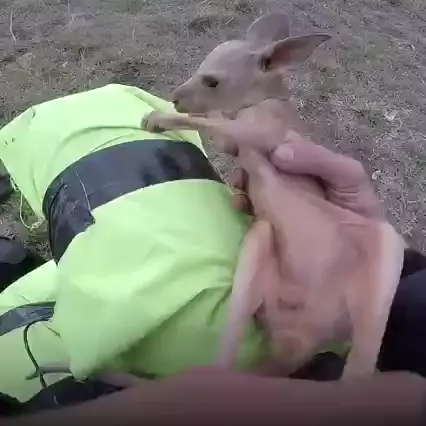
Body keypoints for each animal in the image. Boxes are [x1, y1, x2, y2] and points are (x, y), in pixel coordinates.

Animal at [141, 13, 405, 379]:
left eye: (212, 81)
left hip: (384, 258)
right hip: (261, 246)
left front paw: (158, 118)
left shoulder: (261, 134)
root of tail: (300, 344)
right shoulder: (241, 140)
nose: (176, 97)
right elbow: (220, 132)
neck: (267, 100)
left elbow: (213, 123)